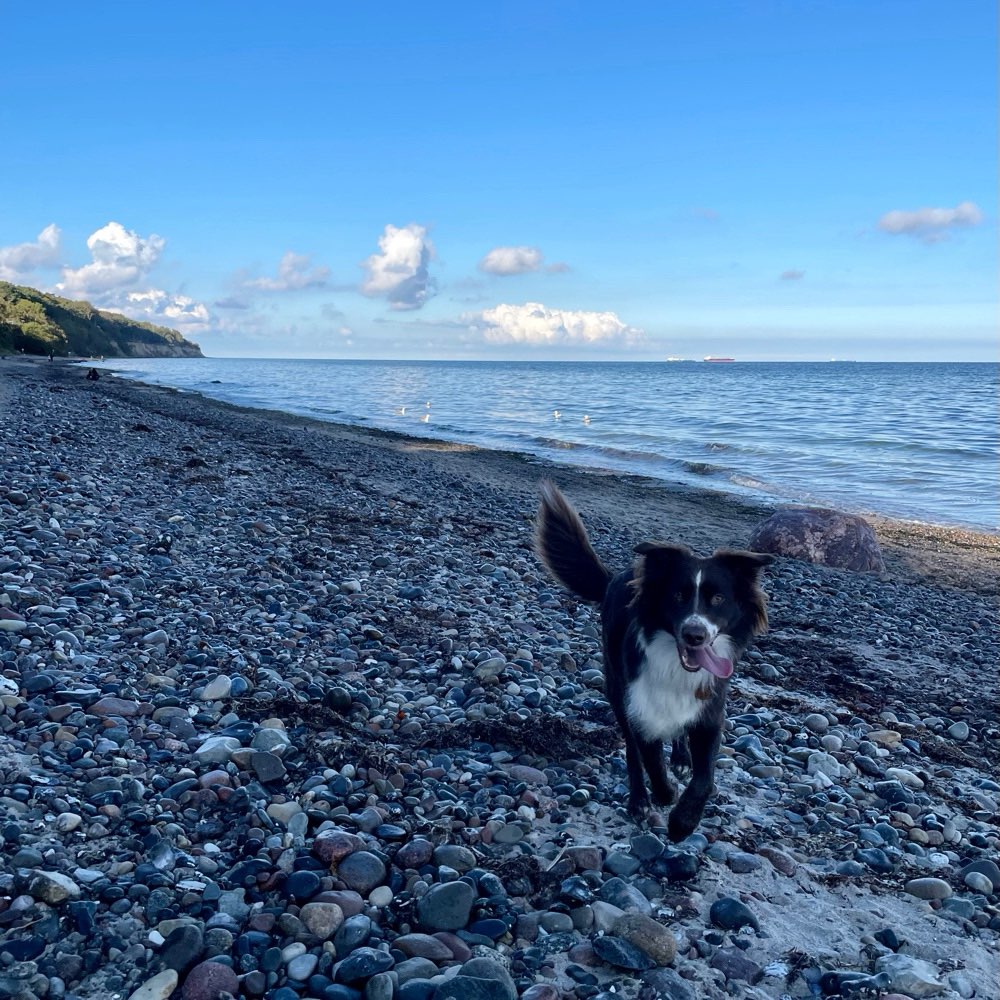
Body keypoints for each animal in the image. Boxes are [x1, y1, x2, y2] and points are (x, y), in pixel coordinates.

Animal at [536, 480, 768, 840]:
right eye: (678, 595)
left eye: (718, 598)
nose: (694, 635)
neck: (675, 666)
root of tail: (617, 576)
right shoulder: (641, 707)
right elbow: (649, 760)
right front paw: (665, 795)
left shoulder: (710, 712)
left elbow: (704, 778)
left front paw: (683, 822)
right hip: (616, 689)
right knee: (632, 752)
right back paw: (639, 800)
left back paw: (681, 759)